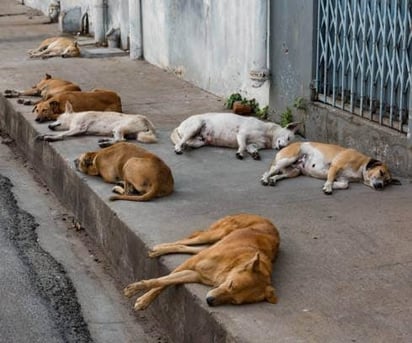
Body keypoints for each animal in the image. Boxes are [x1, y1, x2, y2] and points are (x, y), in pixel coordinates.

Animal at [124, 214, 282, 310]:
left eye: (234, 301)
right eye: (231, 285)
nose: (209, 301)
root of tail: (264, 218)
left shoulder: (194, 275)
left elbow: (166, 281)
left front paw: (142, 297)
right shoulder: (190, 264)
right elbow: (159, 283)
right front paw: (141, 297)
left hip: (213, 242)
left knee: (190, 247)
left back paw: (159, 250)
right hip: (215, 234)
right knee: (189, 240)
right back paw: (159, 248)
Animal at [170, 113, 300, 161]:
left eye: (288, 145)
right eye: (288, 138)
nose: (282, 147)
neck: (268, 134)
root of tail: (179, 126)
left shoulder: (252, 144)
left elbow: (251, 148)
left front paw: (255, 154)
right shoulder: (242, 134)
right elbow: (242, 146)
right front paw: (240, 153)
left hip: (199, 141)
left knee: (187, 142)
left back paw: (184, 146)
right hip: (195, 126)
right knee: (180, 142)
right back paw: (178, 148)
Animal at [260, 142, 400, 195]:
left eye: (387, 181)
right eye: (381, 172)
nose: (380, 186)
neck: (361, 166)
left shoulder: (343, 179)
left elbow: (344, 185)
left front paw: (332, 185)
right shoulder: (335, 165)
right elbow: (330, 178)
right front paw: (328, 187)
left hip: (295, 171)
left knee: (279, 174)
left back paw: (273, 180)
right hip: (288, 159)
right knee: (269, 170)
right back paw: (265, 179)